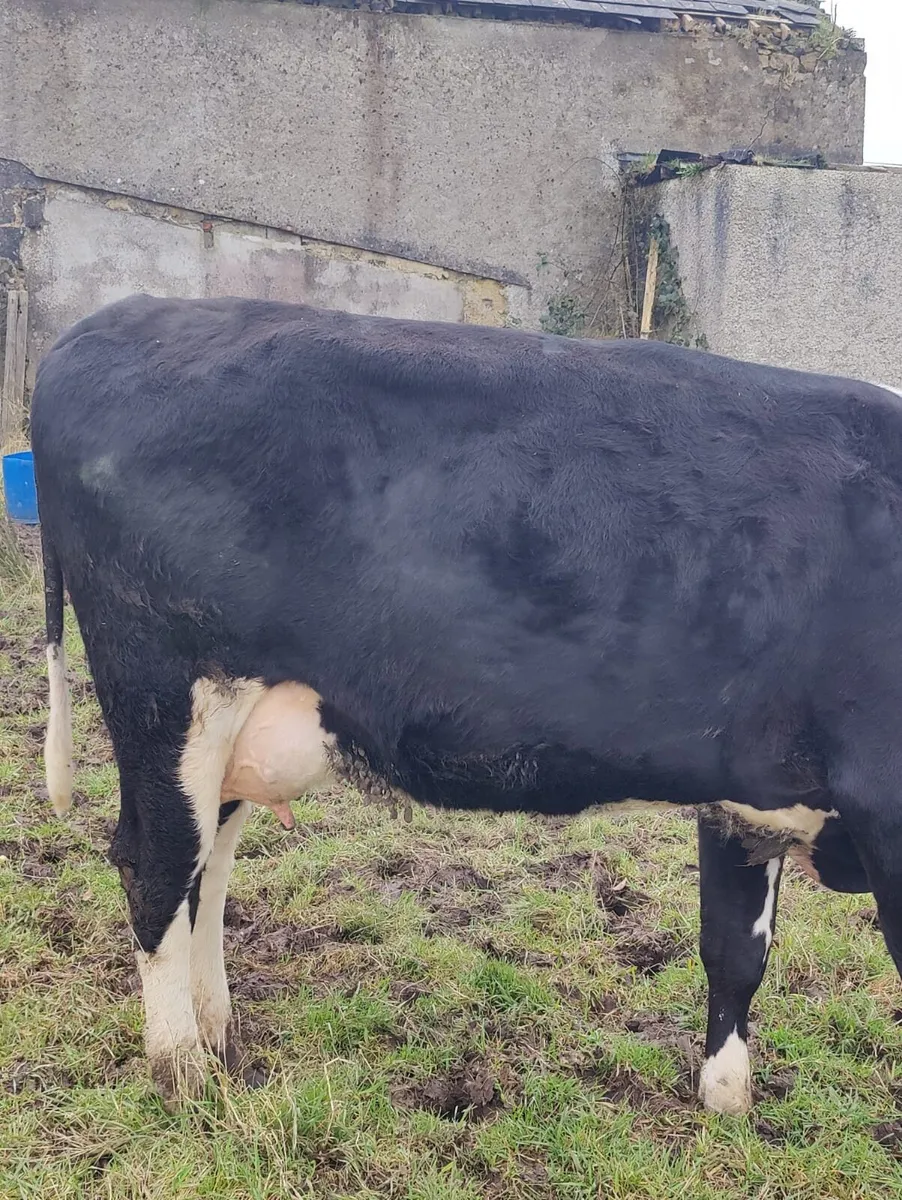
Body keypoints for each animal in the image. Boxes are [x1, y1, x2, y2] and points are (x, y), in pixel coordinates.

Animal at [30, 294, 902, 1116]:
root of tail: (120, 315)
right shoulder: (881, 800)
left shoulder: (746, 791)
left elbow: (734, 951)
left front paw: (726, 1103)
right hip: (164, 690)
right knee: (156, 867)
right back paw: (182, 1072)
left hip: (237, 728)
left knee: (205, 870)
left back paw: (219, 1036)